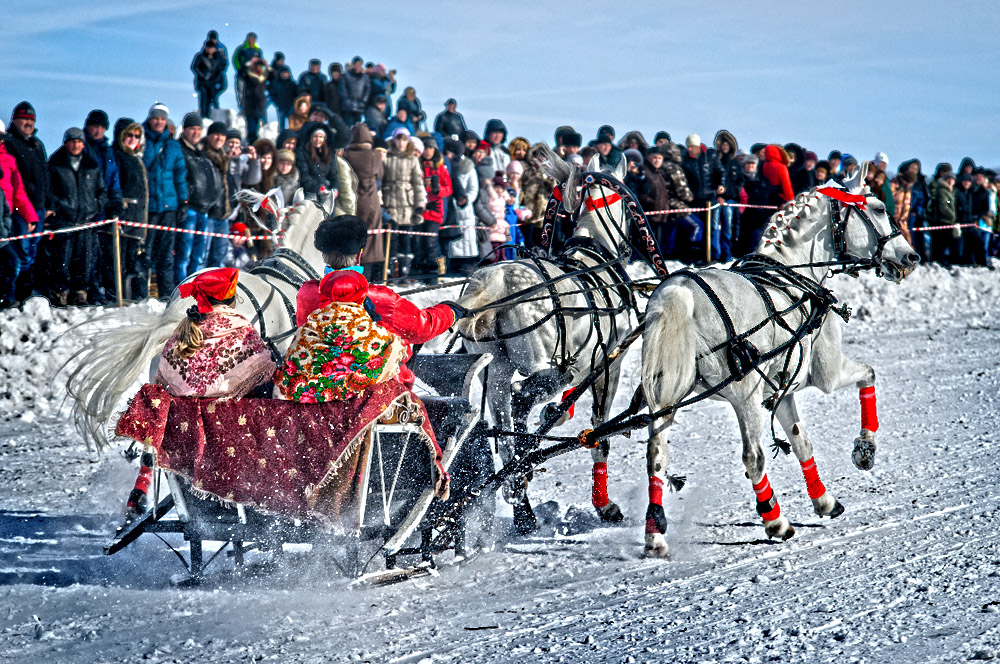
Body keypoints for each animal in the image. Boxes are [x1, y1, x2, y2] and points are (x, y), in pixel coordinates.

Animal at [456, 148, 640, 532]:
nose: (629, 248)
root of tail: (496, 283)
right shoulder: (607, 366)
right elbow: (599, 434)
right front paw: (604, 505)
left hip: (496, 368)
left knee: (505, 427)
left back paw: (522, 506)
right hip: (544, 364)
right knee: (523, 399)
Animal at [636, 165, 916, 556]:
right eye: (877, 208)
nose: (911, 257)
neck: (796, 273)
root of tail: (681, 291)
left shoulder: (781, 392)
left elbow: (801, 442)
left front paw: (824, 500)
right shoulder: (827, 373)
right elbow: (868, 375)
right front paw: (865, 450)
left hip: (665, 399)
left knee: (656, 458)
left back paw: (655, 537)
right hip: (745, 397)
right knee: (753, 457)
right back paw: (775, 520)